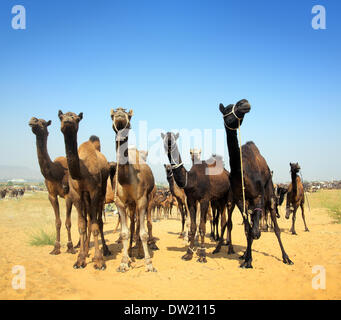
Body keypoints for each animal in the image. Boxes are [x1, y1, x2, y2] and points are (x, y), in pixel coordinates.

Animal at [28, 117, 77, 255]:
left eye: (43, 123)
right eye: (35, 120)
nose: (32, 121)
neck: (56, 172)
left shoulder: (68, 196)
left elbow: (68, 222)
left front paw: (70, 247)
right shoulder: (51, 195)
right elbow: (57, 222)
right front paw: (56, 248)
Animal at [58, 111, 110, 268]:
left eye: (77, 118)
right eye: (61, 117)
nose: (68, 120)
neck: (82, 171)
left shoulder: (94, 192)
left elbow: (95, 225)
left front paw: (99, 260)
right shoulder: (76, 194)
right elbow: (82, 225)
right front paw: (80, 258)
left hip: (101, 193)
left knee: (98, 221)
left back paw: (105, 250)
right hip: (85, 198)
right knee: (88, 220)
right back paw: (87, 251)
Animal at [161, 131, 232, 262]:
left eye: (173, 139)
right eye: (165, 139)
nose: (169, 143)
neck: (191, 179)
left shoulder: (204, 200)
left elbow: (202, 226)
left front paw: (202, 254)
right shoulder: (191, 200)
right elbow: (193, 225)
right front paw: (188, 253)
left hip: (229, 198)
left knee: (228, 222)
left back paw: (230, 248)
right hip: (219, 200)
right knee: (223, 221)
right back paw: (218, 248)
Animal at [218, 99, 292, 268]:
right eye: (227, 109)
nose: (244, 102)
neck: (241, 174)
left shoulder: (259, 196)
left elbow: (255, 230)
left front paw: (249, 259)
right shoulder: (240, 199)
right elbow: (248, 229)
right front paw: (247, 259)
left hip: (269, 193)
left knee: (276, 227)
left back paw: (286, 257)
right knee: (249, 227)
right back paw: (245, 253)